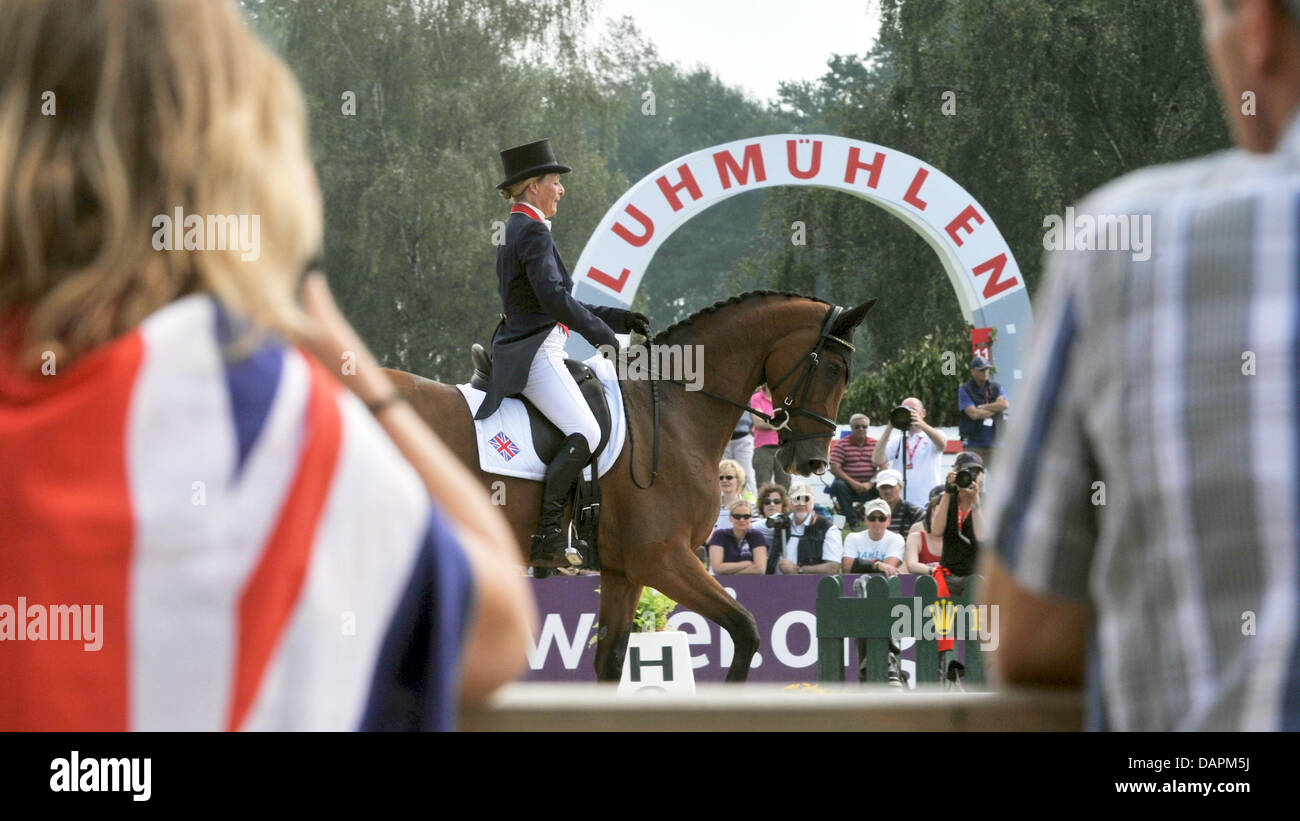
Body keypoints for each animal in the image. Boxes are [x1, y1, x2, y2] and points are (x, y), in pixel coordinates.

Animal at [382, 292, 873, 680]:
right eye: (834, 369)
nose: (814, 460)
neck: (676, 411)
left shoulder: (625, 572)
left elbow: (611, 662)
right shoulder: (664, 559)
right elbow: (746, 631)